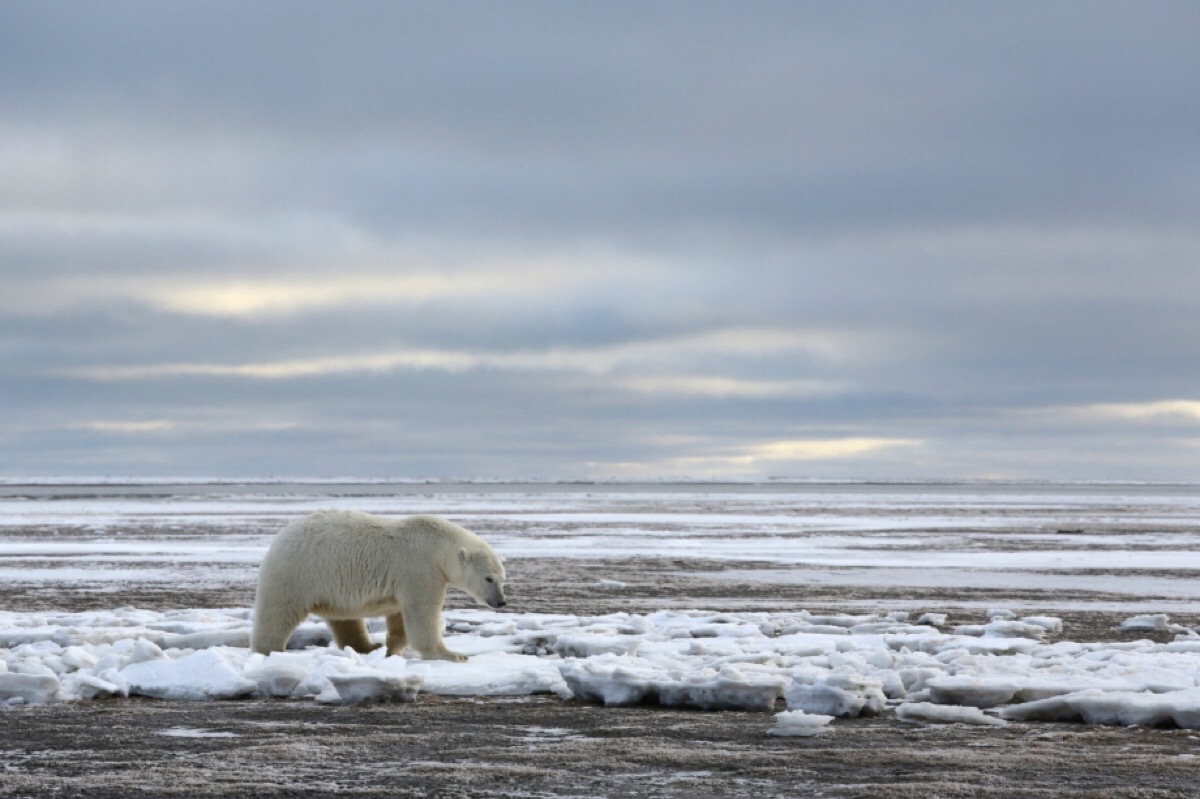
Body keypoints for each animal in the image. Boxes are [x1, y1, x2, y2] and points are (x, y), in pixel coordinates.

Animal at [253, 511, 506, 657]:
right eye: (488, 578)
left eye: (502, 578)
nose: (501, 601)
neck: (437, 545)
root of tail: (280, 538)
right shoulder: (420, 569)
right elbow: (422, 612)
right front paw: (450, 654)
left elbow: (399, 616)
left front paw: (392, 648)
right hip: (296, 574)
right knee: (277, 613)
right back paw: (268, 650)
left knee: (345, 619)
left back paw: (368, 646)